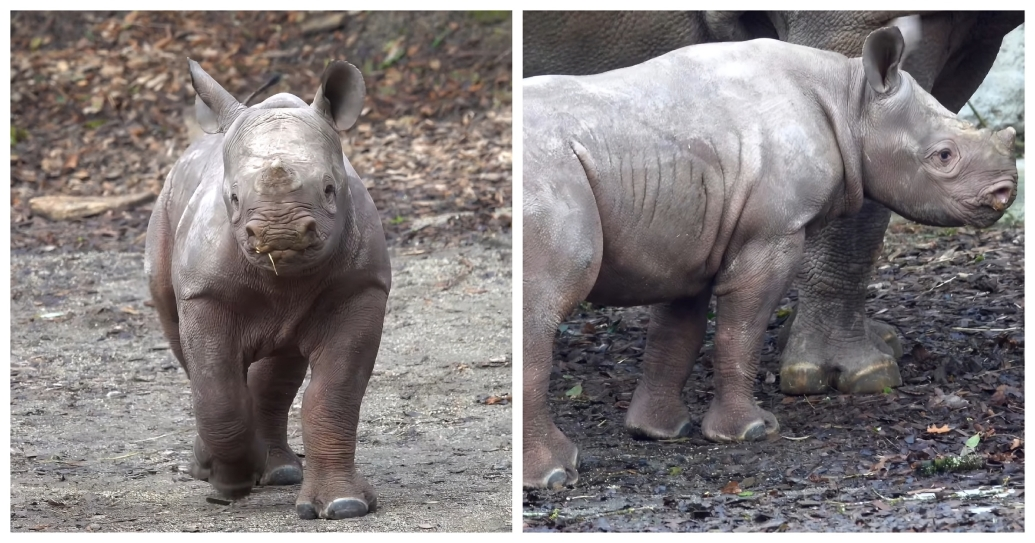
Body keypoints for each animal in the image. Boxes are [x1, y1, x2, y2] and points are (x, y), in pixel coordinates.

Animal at [143, 57, 389, 519]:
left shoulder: (362, 288)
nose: (280, 234)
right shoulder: (203, 293)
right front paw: (230, 482)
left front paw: (343, 505)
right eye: (234, 198)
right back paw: (211, 467)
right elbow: (217, 391)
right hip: (165, 211)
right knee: (183, 344)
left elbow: (335, 394)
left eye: (330, 189)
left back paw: (279, 471)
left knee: (279, 365)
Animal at [521, 26, 1022, 486]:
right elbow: (741, 331)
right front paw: (750, 431)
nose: (1005, 192)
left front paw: (660, 431)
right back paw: (556, 476)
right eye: (943, 156)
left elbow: (675, 332)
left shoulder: (691, 233)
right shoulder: (772, 234)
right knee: (542, 312)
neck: (851, 99)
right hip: (548, 182)